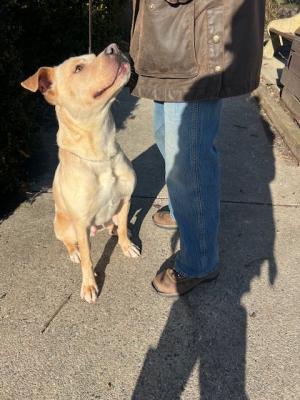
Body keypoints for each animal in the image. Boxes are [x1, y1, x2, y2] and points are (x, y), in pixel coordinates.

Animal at [21, 43, 141, 304]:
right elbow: (88, 257)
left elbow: (124, 227)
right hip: (64, 225)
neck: (101, 152)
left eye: (95, 55)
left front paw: (126, 245)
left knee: (116, 224)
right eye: (78, 68)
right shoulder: (82, 221)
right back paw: (74, 252)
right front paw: (89, 284)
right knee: (70, 243)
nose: (114, 47)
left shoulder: (126, 199)